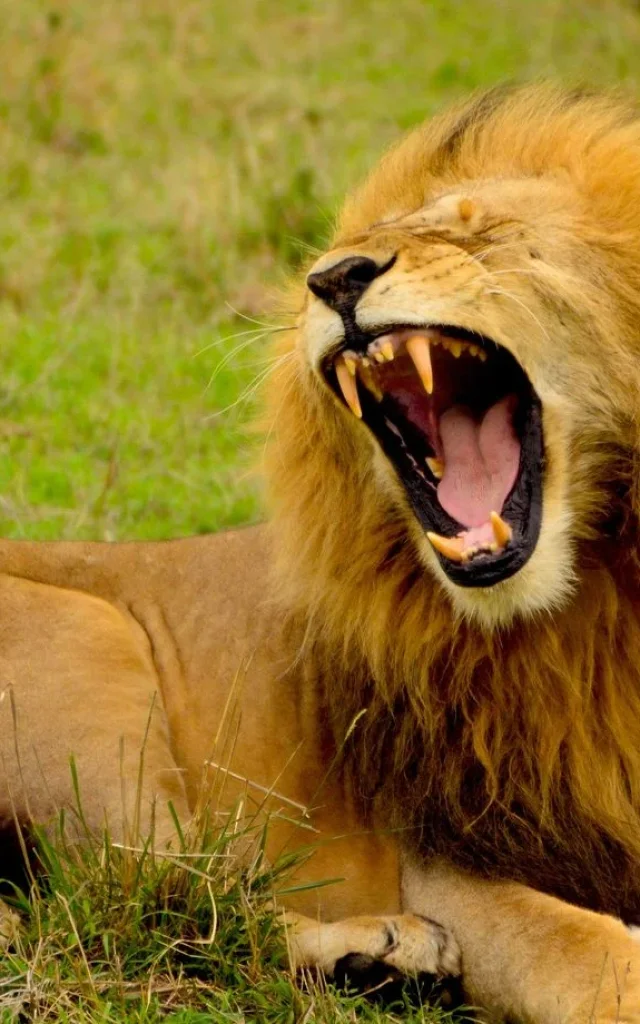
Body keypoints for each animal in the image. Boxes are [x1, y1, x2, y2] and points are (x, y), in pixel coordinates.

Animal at [1, 82, 640, 1021]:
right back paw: (382, 951)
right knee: (157, 903)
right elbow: (593, 958)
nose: (334, 280)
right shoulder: (445, 861)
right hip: (92, 657)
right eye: (337, 256)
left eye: (477, 231)